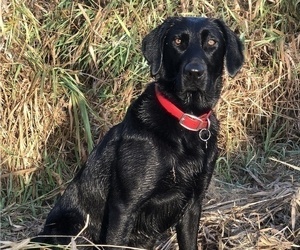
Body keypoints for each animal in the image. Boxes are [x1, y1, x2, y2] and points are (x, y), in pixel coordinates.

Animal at [34, 16, 244, 249]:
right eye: (178, 41)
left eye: (212, 42)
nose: (194, 72)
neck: (185, 117)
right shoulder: (124, 206)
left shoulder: (193, 204)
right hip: (70, 229)